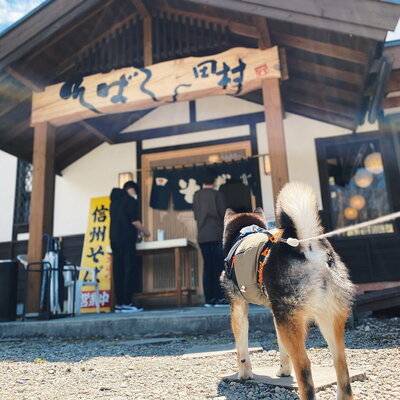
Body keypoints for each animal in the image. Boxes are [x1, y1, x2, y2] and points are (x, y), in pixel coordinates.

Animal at [220, 182, 354, 400]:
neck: (244, 232)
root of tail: (306, 245)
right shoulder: (276, 313)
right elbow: (282, 349)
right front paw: (283, 371)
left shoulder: (238, 305)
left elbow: (241, 348)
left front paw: (244, 374)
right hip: (326, 315)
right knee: (341, 362)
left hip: (296, 317)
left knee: (305, 367)